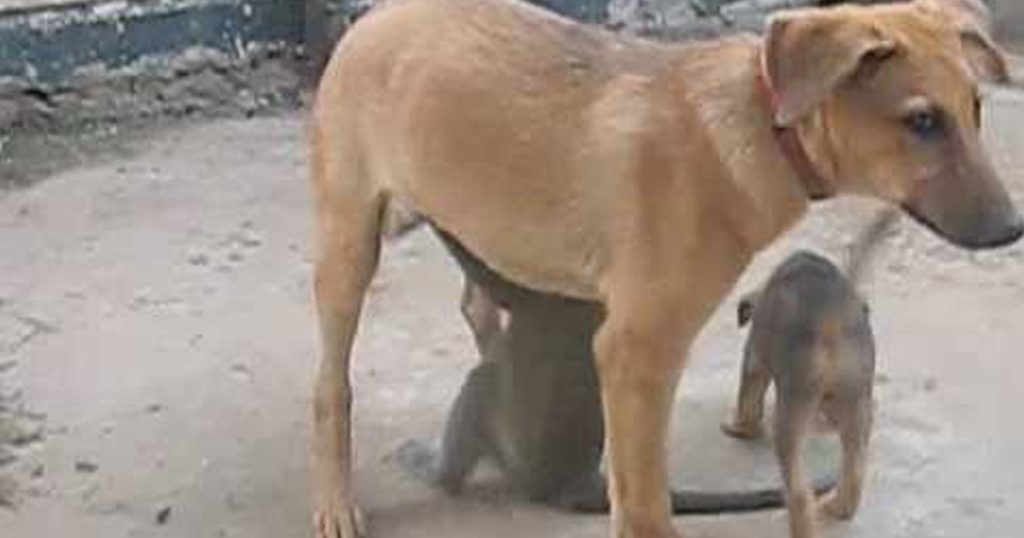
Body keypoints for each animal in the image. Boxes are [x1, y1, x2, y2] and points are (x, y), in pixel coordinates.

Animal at [307, 2, 1019, 532]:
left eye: (977, 109)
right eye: (922, 121)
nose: (1013, 228)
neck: (764, 126)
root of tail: (375, 16)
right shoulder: (636, 353)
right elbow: (647, 509)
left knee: (479, 307)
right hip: (348, 246)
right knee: (332, 388)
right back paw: (338, 503)